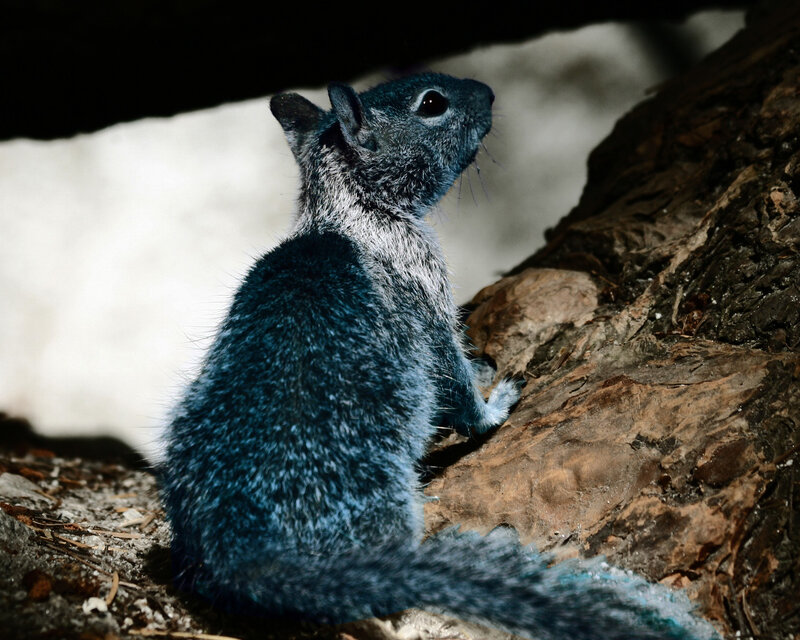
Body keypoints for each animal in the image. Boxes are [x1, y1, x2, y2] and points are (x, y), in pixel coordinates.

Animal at [160, 73, 719, 640]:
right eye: (431, 104)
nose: (488, 91)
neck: (351, 210)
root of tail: (249, 563)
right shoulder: (424, 290)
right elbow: (453, 380)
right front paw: (492, 405)